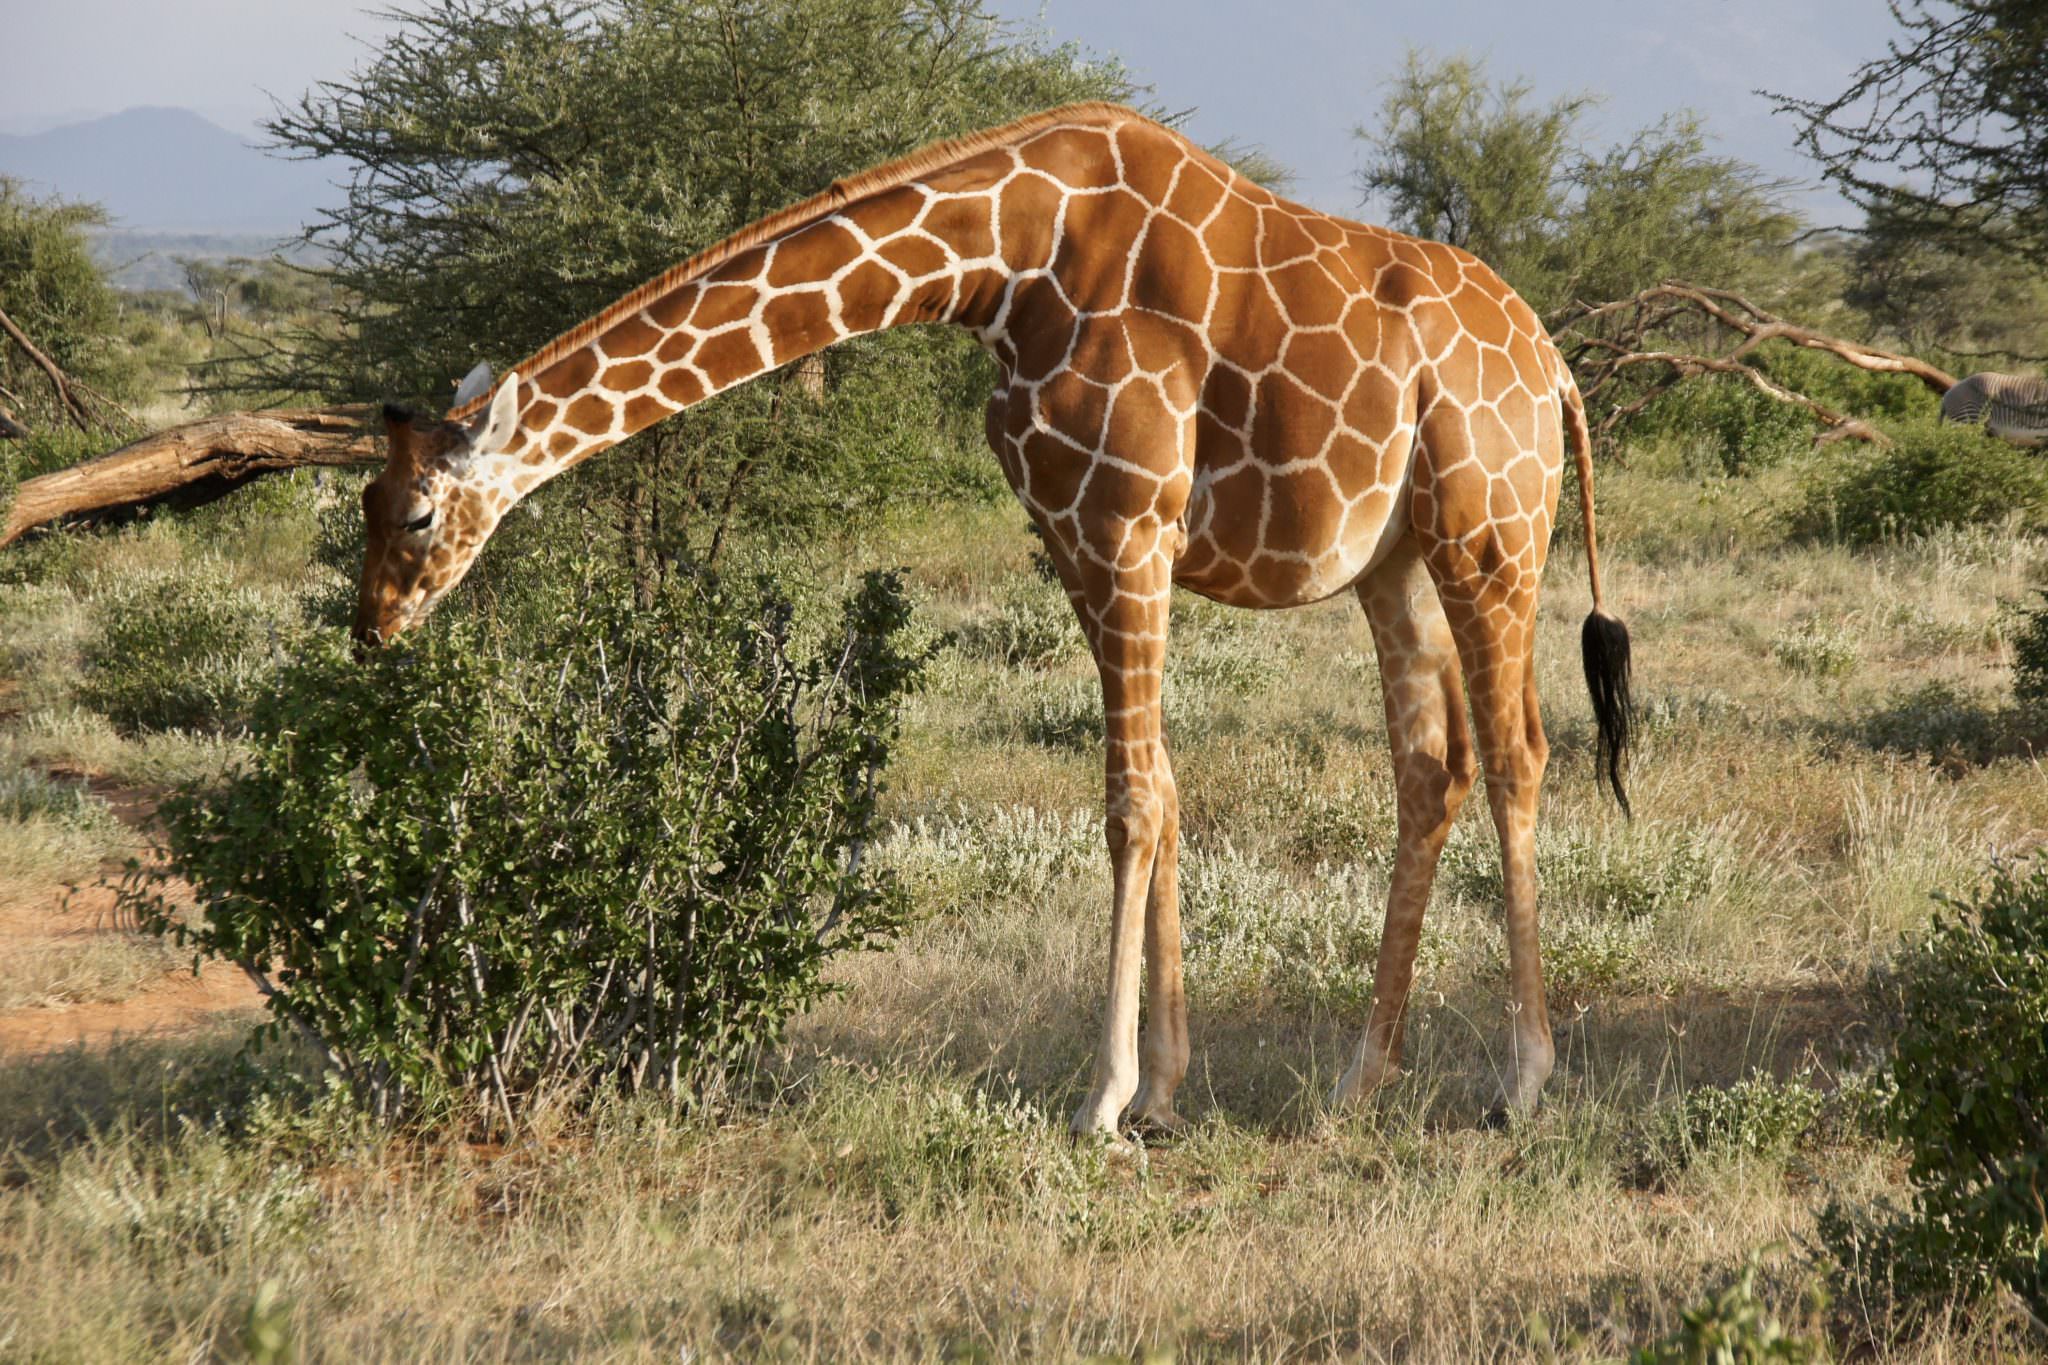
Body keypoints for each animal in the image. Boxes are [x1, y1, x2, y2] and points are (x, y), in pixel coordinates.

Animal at [354, 102, 1634, 1138]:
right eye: (366, 504)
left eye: (414, 512)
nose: (372, 627)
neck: (999, 264)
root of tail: (1555, 371)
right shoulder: (1074, 536)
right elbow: (1166, 787)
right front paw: (1164, 1093)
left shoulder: (1125, 523)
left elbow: (1128, 800)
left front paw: (1102, 1097)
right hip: (1389, 559)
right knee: (1431, 764)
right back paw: (1357, 1085)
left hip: (1487, 533)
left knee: (1515, 754)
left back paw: (1520, 1083)